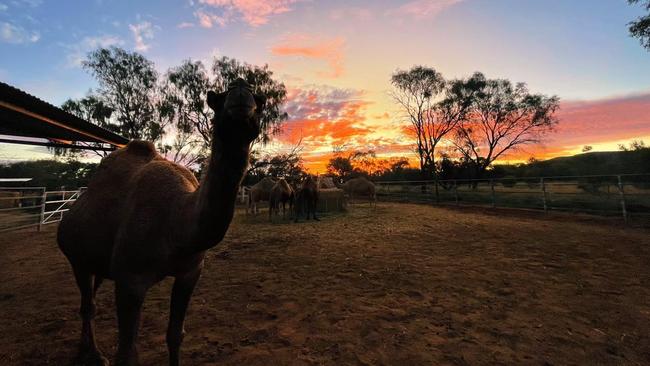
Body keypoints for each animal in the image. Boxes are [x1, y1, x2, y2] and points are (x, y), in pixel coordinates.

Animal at [56, 78, 264, 366]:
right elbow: (127, 353)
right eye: (218, 99)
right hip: (77, 259)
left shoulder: (190, 272)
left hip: (98, 263)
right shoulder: (130, 280)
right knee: (88, 305)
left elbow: (176, 334)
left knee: (92, 300)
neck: (176, 227)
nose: (241, 91)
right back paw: (93, 354)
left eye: (260, 100)